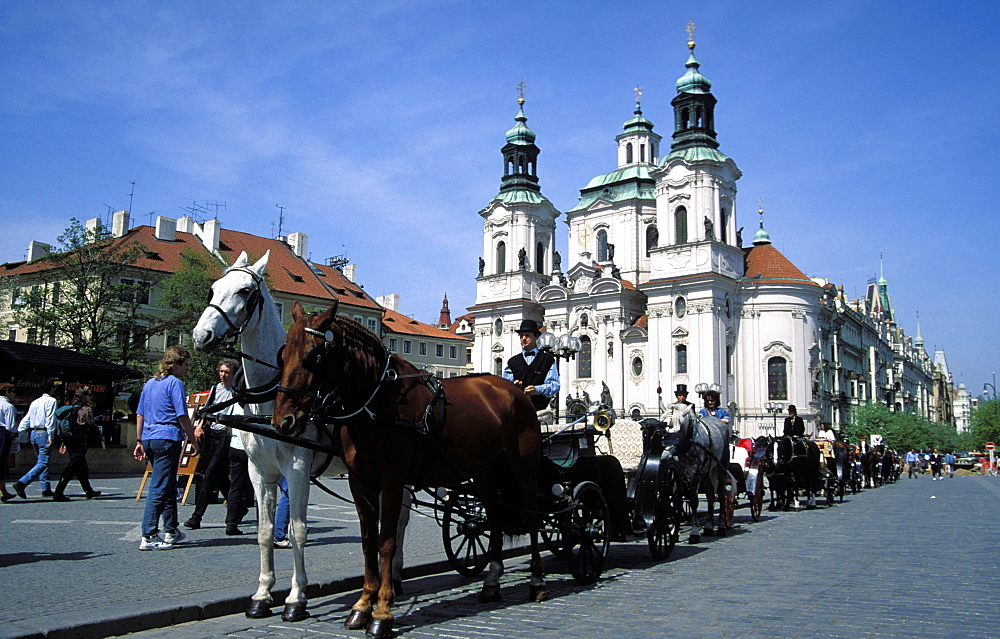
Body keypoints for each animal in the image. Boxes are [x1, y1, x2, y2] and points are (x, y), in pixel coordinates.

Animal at [191, 252, 410, 624]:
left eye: (246, 291)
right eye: (214, 288)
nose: (201, 334)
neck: (271, 395)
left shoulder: (296, 469)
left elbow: (297, 530)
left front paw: (296, 597)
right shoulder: (259, 471)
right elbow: (265, 532)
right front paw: (262, 594)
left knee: (403, 520)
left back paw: (393, 579)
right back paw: (391, 578)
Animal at [272, 302, 548, 639]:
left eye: (314, 356)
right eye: (283, 354)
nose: (283, 421)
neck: (375, 402)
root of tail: (516, 391)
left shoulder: (391, 481)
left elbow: (387, 543)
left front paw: (382, 612)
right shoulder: (359, 482)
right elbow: (368, 541)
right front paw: (362, 605)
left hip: (523, 471)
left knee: (532, 519)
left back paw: (537, 582)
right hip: (483, 474)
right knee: (494, 518)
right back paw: (492, 582)